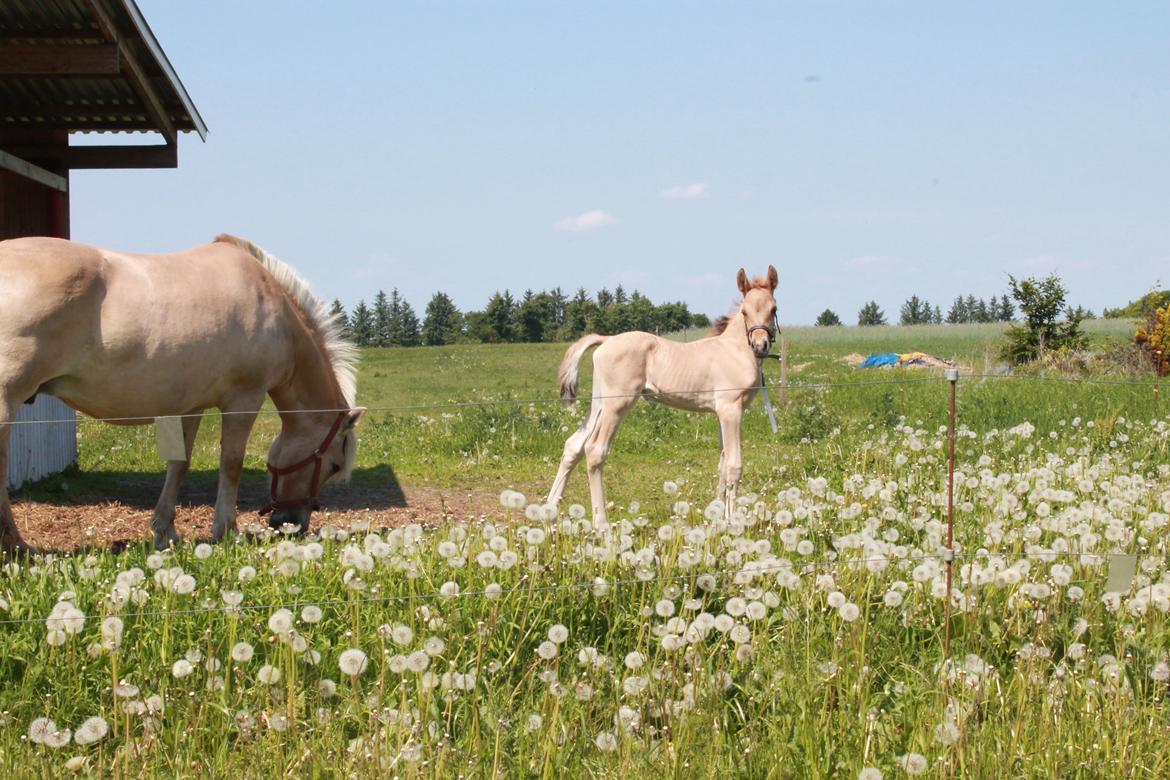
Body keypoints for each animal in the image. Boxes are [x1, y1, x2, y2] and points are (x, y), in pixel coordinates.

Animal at [0, 235, 365, 551]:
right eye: (334, 465)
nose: (293, 525)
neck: (271, 305)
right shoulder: (243, 400)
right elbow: (231, 463)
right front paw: (227, 531)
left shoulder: (191, 406)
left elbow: (180, 464)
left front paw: (165, 531)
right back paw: (16, 547)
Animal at [547, 265, 776, 521]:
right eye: (745, 311)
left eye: (773, 309)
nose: (760, 346)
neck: (734, 350)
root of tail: (606, 340)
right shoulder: (731, 410)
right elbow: (734, 465)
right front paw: (730, 520)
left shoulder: (722, 413)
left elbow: (722, 462)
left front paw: (716, 515)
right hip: (617, 405)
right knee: (595, 451)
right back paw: (601, 523)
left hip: (599, 404)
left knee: (573, 445)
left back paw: (549, 511)